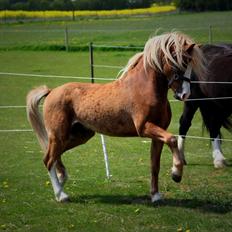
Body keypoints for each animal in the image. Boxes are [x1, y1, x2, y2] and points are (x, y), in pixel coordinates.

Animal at [26, 31, 206, 202]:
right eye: (180, 63)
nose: (185, 94)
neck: (144, 89)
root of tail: (51, 91)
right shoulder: (144, 128)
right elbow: (172, 139)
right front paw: (176, 173)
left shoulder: (158, 133)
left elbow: (155, 164)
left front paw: (156, 196)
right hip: (59, 135)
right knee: (48, 159)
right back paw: (61, 195)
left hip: (80, 135)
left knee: (54, 156)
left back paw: (62, 179)